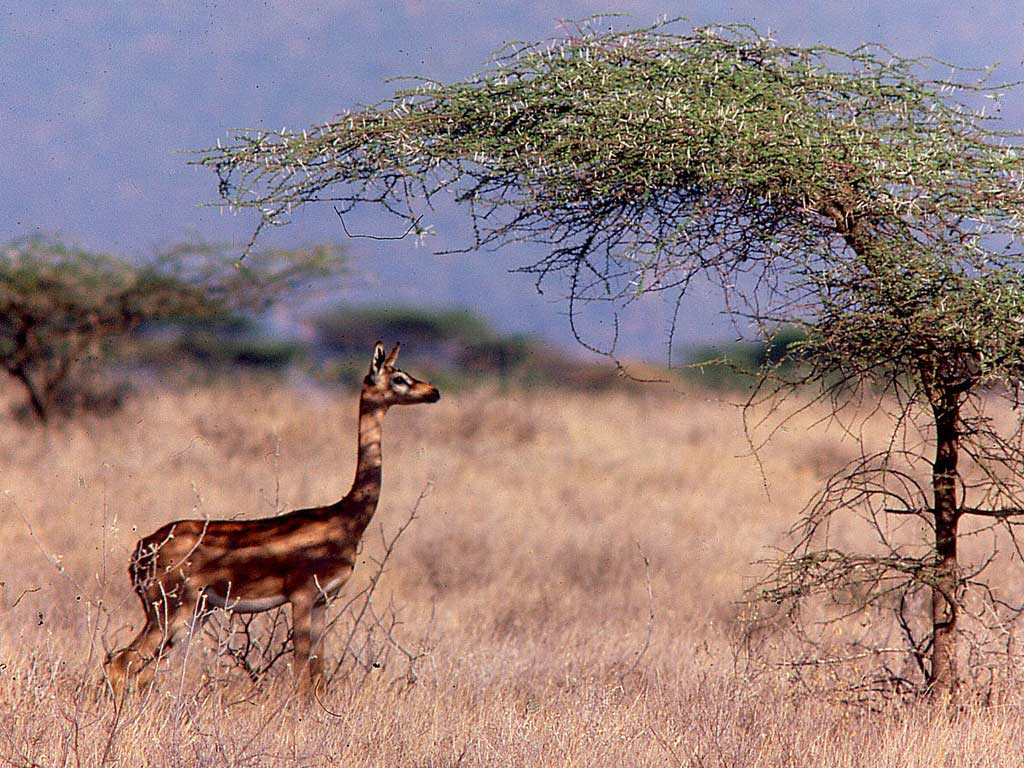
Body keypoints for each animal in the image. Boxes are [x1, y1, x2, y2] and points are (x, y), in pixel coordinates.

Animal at [104, 342, 439, 697]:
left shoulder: (324, 601)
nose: (433, 391)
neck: (344, 518)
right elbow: (302, 676)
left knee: (140, 670)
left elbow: (318, 675)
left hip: (194, 614)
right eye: (399, 377)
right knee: (121, 663)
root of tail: (142, 548)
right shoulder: (302, 597)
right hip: (171, 612)